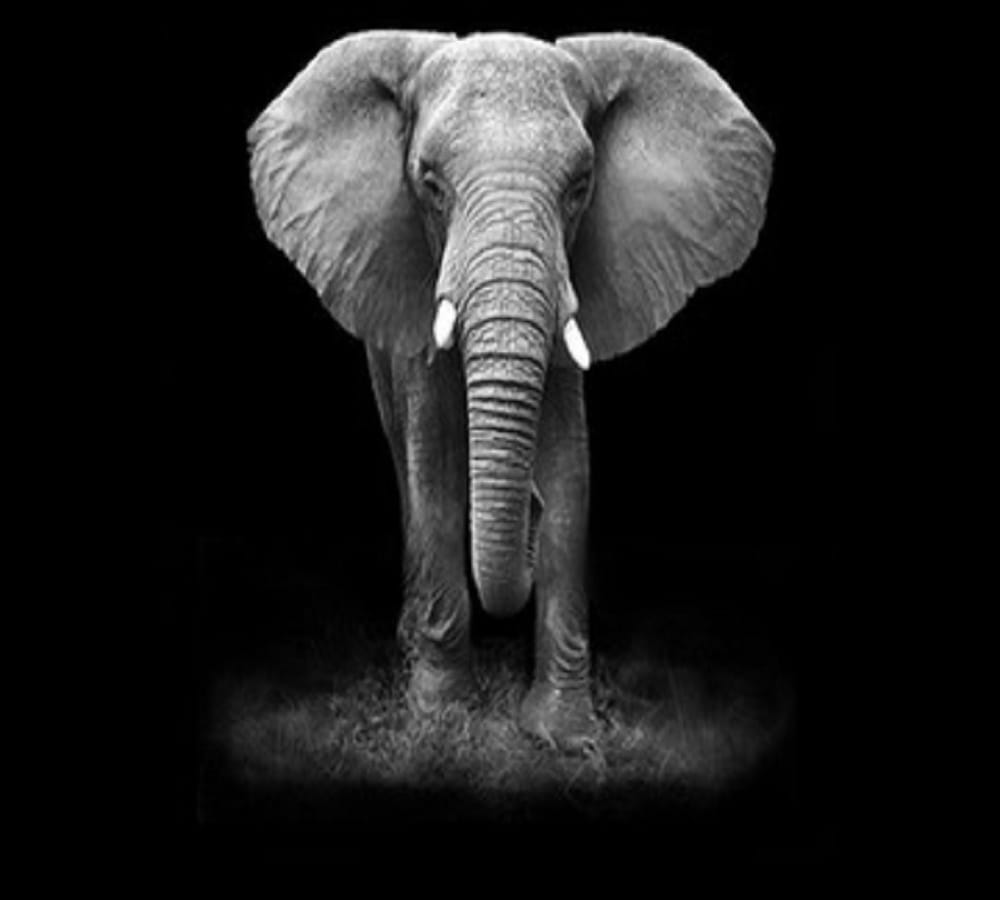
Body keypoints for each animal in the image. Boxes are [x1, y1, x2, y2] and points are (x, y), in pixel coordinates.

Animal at [247, 30, 773, 750]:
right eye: (430, 184)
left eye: (580, 187)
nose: (529, 508)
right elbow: (435, 467)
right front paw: (440, 717)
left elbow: (572, 470)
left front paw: (565, 737)